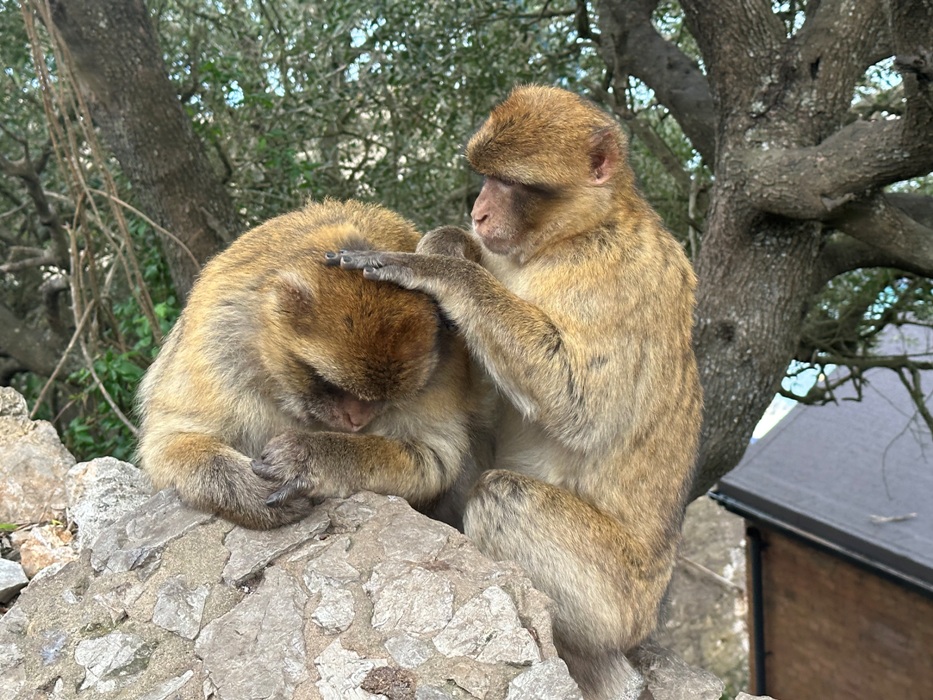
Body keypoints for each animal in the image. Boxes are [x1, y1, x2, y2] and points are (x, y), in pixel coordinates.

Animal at [136, 200, 484, 528]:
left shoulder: (447, 363)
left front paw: (313, 457)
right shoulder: (218, 345)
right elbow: (168, 441)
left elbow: (435, 457)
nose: (356, 421)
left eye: (387, 398)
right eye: (327, 382)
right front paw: (251, 491)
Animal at [328, 87, 700, 700]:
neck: (570, 236)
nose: (478, 213)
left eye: (511, 183)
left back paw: (595, 667)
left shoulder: (619, 275)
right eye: (484, 178)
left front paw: (436, 268)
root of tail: (651, 608)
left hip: (617, 601)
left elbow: (580, 407)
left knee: (504, 496)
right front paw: (447, 243)